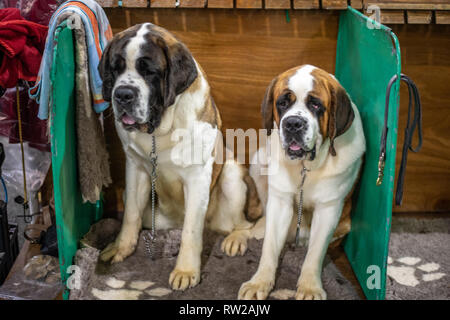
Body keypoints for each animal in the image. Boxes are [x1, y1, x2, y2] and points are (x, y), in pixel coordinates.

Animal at [96, 23, 262, 292]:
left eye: (149, 71)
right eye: (116, 68)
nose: (123, 94)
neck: (159, 130)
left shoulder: (197, 176)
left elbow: (191, 231)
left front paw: (186, 270)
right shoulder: (135, 168)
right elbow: (130, 214)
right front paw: (121, 248)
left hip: (231, 174)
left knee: (245, 224)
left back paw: (236, 239)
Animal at [239, 64, 366, 300]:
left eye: (315, 104)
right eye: (282, 103)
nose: (293, 123)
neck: (306, 168)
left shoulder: (328, 209)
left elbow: (315, 253)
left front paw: (309, 287)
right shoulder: (279, 203)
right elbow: (269, 247)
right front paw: (259, 282)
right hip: (259, 161)